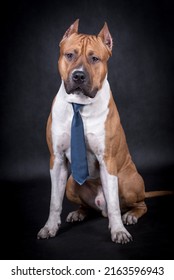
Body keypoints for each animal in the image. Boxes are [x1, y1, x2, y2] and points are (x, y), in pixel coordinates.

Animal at [37, 19, 173, 243]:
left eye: (94, 58)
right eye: (69, 55)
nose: (79, 75)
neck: (80, 105)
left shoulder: (107, 160)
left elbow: (116, 207)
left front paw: (118, 231)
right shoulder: (56, 159)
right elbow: (54, 202)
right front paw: (50, 227)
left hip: (127, 182)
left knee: (138, 204)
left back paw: (131, 215)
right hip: (71, 183)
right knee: (87, 205)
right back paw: (79, 212)